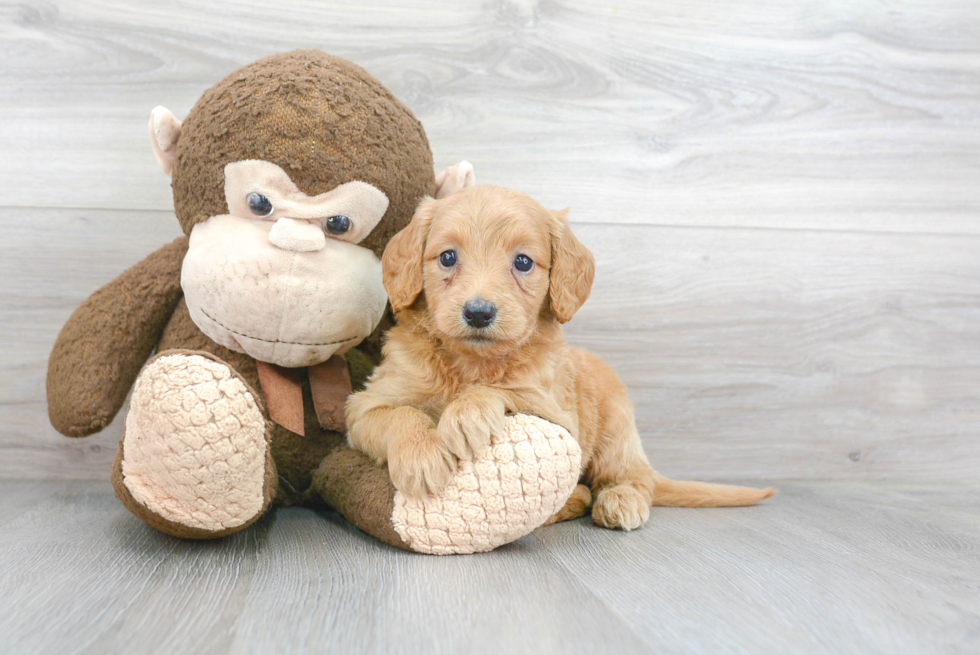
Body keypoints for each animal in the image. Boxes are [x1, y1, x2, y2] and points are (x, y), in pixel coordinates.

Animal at [348, 186, 776, 532]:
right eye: (448, 257)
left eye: (523, 262)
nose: (479, 313)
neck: (472, 362)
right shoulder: (366, 406)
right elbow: (401, 414)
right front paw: (421, 457)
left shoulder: (556, 415)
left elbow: (504, 390)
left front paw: (468, 412)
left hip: (616, 434)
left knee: (629, 480)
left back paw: (620, 500)